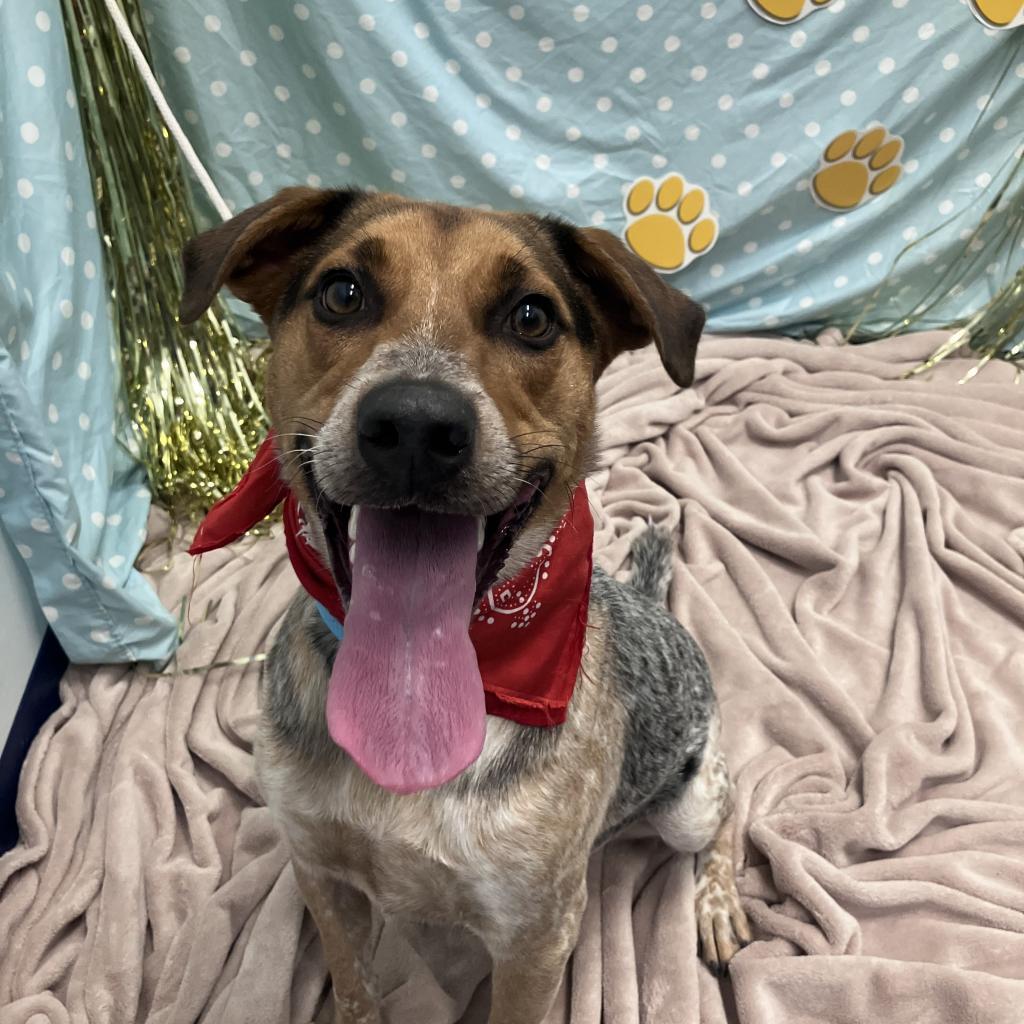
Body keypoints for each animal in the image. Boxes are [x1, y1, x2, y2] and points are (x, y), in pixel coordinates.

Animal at [180, 186, 749, 1024]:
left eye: (532, 317)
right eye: (342, 293)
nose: (416, 424)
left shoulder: (534, 936)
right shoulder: (320, 870)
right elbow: (353, 984)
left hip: (685, 804)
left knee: (732, 804)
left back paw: (716, 902)